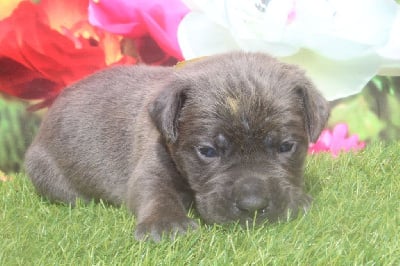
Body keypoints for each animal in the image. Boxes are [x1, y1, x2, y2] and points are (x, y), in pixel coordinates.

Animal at [26, 51, 330, 241]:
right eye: (207, 151)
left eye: (286, 146)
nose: (253, 206)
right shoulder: (152, 167)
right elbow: (156, 192)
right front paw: (166, 224)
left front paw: (298, 199)